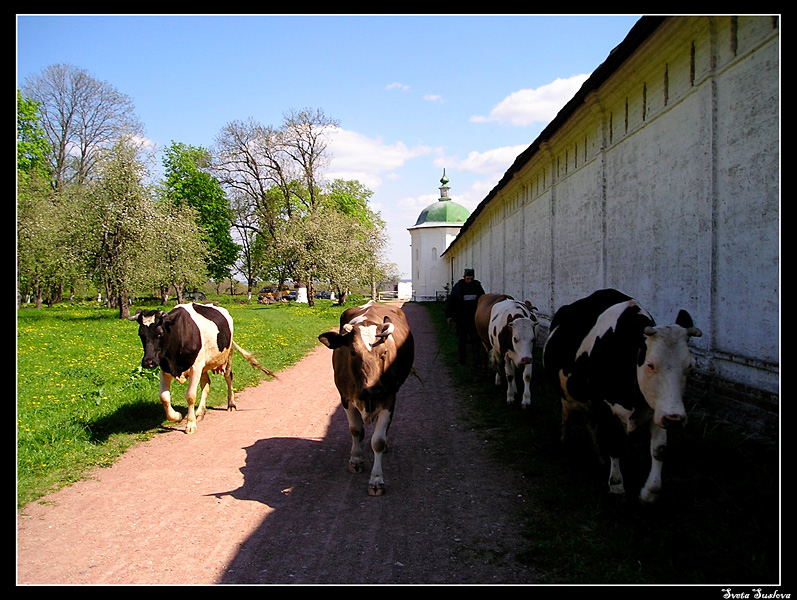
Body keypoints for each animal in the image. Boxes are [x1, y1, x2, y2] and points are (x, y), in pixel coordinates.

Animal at [131, 302, 276, 434]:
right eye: (140, 334)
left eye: (160, 334)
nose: (148, 362)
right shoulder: (165, 368)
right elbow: (164, 397)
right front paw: (177, 416)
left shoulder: (195, 367)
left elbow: (190, 395)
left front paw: (190, 424)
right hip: (204, 365)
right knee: (206, 384)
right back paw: (200, 412)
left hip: (227, 355)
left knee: (229, 378)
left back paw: (231, 404)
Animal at [318, 302, 416, 494]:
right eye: (352, 352)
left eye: (384, 352)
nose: (374, 390)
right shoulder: (345, 399)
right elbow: (356, 430)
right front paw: (356, 460)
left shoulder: (388, 399)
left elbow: (378, 441)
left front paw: (376, 479)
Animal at [540, 288, 704, 504]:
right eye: (650, 364)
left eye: (690, 365)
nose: (675, 418)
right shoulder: (603, 405)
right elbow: (615, 442)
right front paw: (617, 485)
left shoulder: (657, 408)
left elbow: (659, 449)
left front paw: (650, 491)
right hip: (568, 395)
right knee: (567, 415)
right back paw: (565, 442)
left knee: (591, 425)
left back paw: (599, 457)